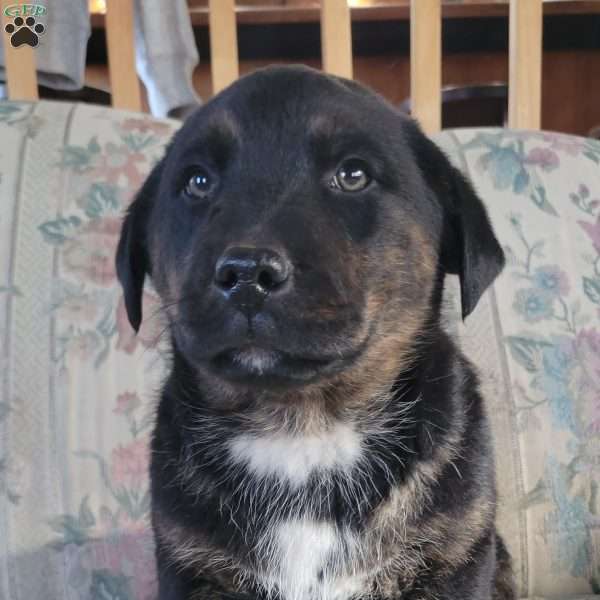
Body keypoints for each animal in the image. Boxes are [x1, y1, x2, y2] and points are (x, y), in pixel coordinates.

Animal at [116, 65, 516, 600]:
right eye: (197, 182)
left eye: (353, 175)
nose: (247, 274)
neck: (304, 426)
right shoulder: (189, 566)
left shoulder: (455, 556)